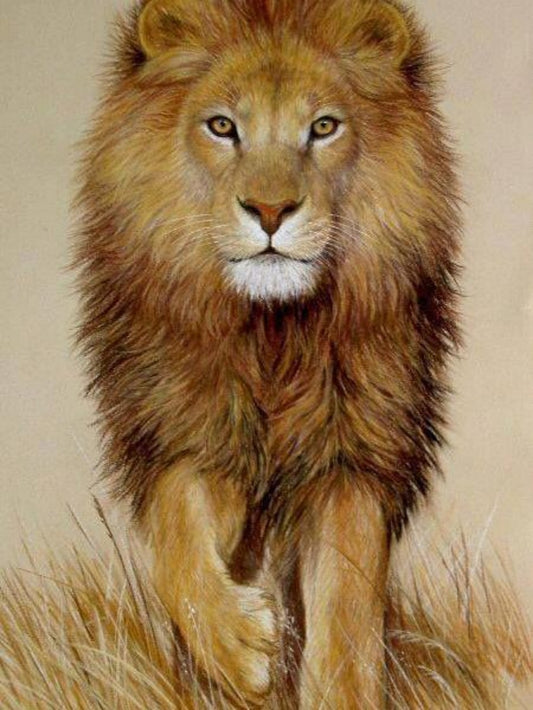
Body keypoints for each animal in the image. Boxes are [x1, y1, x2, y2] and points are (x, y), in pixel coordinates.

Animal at [75, 0, 461, 707]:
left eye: (324, 127)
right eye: (223, 126)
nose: (271, 210)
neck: (272, 337)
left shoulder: (350, 452)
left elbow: (347, 604)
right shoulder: (189, 432)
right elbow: (177, 537)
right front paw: (241, 646)